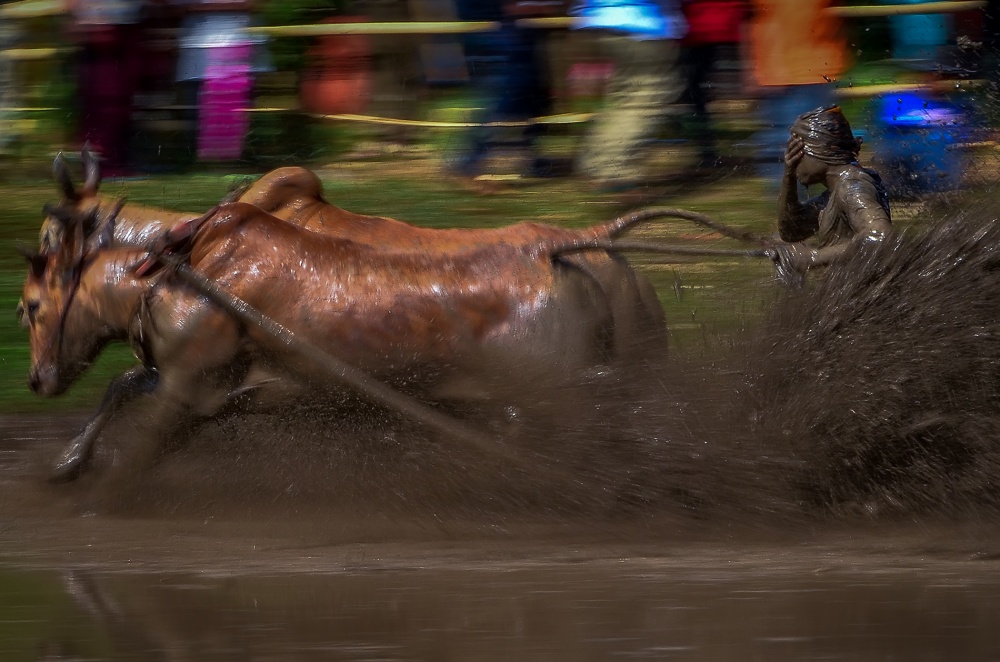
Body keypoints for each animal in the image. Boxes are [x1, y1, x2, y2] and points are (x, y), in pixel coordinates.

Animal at [23, 202, 636, 482]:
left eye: (27, 305)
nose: (34, 378)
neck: (169, 272)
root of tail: (562, 250)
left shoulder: (186, 389)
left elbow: (134, 437)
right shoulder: (190, 386)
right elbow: (120, 386)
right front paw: (67, 461)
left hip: (556, 401)